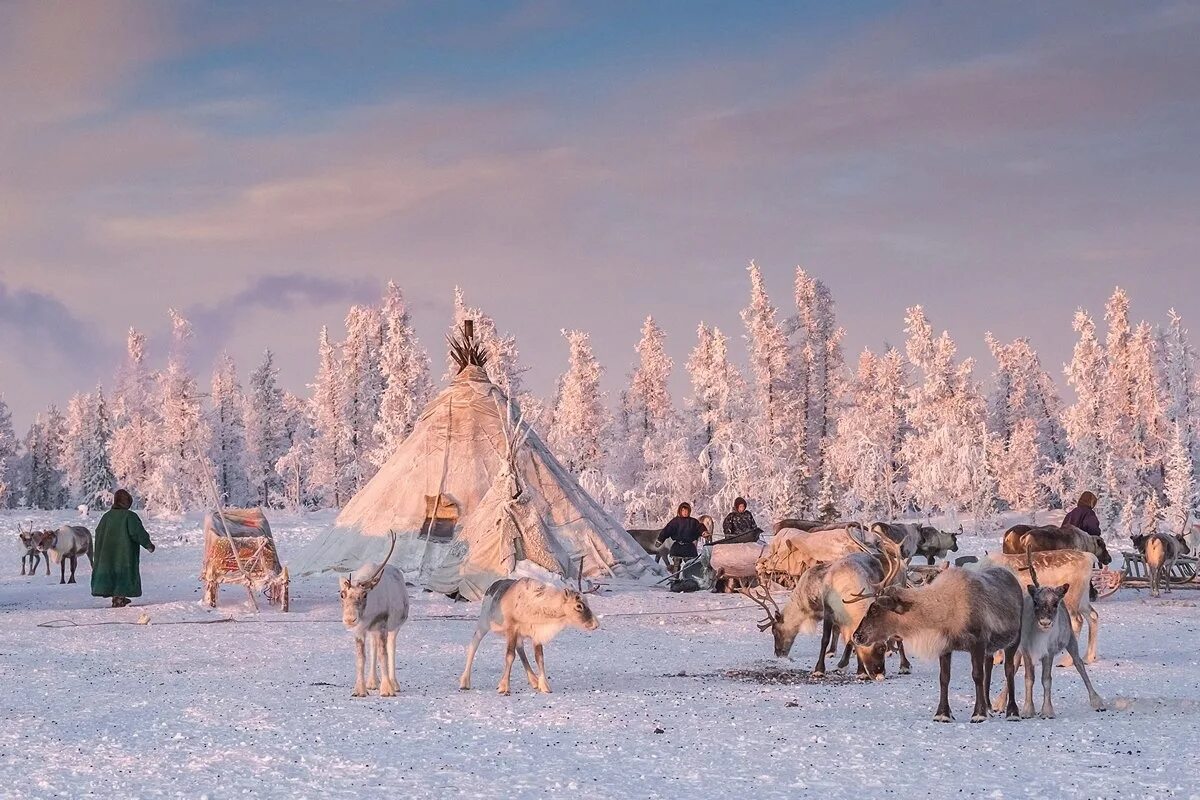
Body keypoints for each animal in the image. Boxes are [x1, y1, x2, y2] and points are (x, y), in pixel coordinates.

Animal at [340, 534, 410, 695]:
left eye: (364, 594)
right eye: (342, 594)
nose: (349, 619)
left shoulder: (382, 626)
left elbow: (383, 656)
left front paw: (387, 690)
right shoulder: (359, 630)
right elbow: (361, 658)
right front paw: (360, 690)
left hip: (394, 627)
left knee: (391, 648)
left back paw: (394, 683)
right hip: (372, 631)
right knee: (373, 648)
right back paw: (372, 682)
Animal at [463, 575, 604, 695]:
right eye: (579, 606)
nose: (596, 624)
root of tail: (492, 586)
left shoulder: (536, 633)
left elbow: (539, 658)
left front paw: (545, 686)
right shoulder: (512, 629)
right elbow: (509, 656)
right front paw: (504, 687)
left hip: (518, 635)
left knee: (520, 649)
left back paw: (534, 681)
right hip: (483, 623)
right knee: (473, 644)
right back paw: (465, 682)